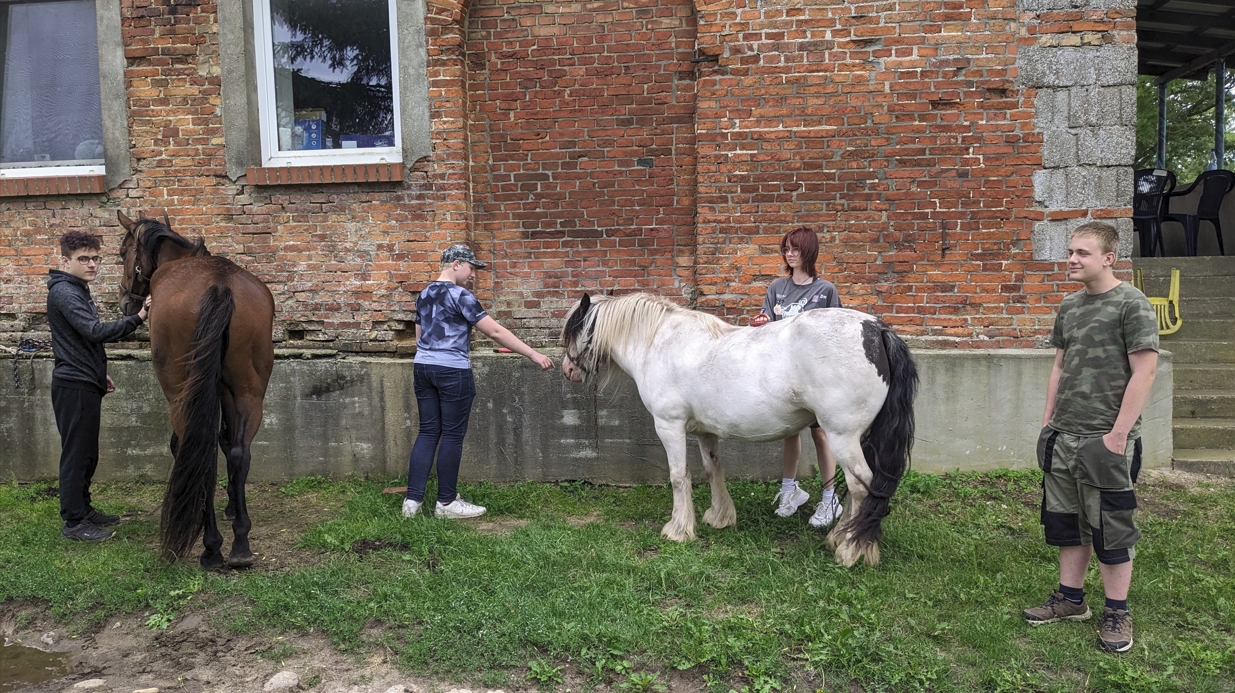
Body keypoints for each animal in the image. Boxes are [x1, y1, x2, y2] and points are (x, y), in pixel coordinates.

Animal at [117, 211, 275, 570]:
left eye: (122, 254)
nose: (126, 303)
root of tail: (219, 283)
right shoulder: (225, 392)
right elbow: (228, 443)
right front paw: (232, 508)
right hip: (249, 393)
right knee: (238, 452)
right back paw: (240, 545)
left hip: (180, 394)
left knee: (194, 451)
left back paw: (212, 547)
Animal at [560, 293, 917, 567]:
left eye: (573, 332)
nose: (567, 370)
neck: (659, 343)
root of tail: (876, 330)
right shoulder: (704, 431)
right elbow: (712, 469)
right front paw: (719, 517)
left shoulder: (669, 425)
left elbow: (679, 476)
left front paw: (678, 530)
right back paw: (841, 539)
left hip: (842, 437)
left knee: (862, 486)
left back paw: (849, 549)